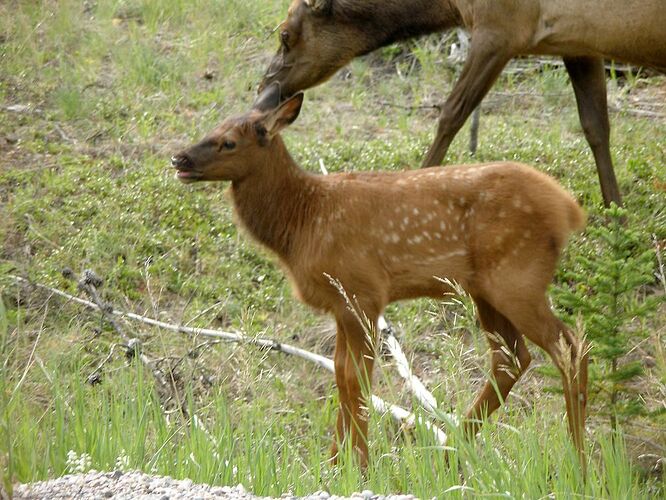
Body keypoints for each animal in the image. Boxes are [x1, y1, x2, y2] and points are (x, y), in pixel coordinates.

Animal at [170, 86, 588, 468]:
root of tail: (568, 208)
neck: (303, 222)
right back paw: (450, 452)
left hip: (518, 276)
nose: (179, 157)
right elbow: (341, 374)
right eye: (213, 125)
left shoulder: (363, 291)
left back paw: (579, 462)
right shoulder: (342, 304)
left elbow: (357, 377)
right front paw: (334, 463)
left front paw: (359, 464)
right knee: (512, 358)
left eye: (228, 141)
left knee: (569, 347)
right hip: (486, 289)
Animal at [258, 0, 664, 207]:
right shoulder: (578, 41)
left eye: (285, 35)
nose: (264, 90)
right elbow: (596, 126)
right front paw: (617, 215)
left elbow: (450, 114)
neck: (448, 5)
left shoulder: (499, 31)